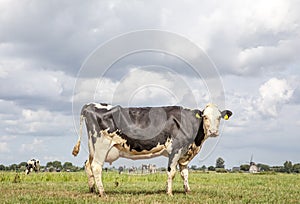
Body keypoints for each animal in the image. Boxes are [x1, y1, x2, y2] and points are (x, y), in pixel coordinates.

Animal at [72, 103, 232, 197]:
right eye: (205, 117)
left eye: (219, 117)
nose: (213, 131)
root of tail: (90, 105)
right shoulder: (175, 149)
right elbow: (171, 172)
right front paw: (169, 193)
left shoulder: (184, 154)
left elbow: (185, 173)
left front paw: (188, 191)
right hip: (101, 146)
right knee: (96, 167)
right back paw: (102, 192)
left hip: (93, 147)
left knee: (88, 165)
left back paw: (92, 189)